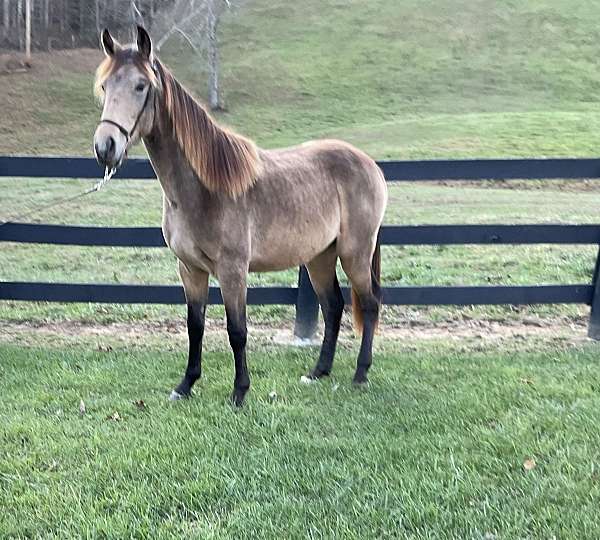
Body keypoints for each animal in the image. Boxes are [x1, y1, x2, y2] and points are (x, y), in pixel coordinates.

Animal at [91, 26, 386, 404]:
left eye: (141, 85)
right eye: (105, 86)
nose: (105, 146)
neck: (203, 188)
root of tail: (369, 164)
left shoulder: (232, 270)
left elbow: (237, 330)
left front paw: (239, 392)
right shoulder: (190, 269)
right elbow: (195, 326)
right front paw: (186, 385)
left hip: (355, 254)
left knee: (370, 304)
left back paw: (361, 374)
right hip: (319, 256)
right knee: (333, 306)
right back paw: (318, 372)